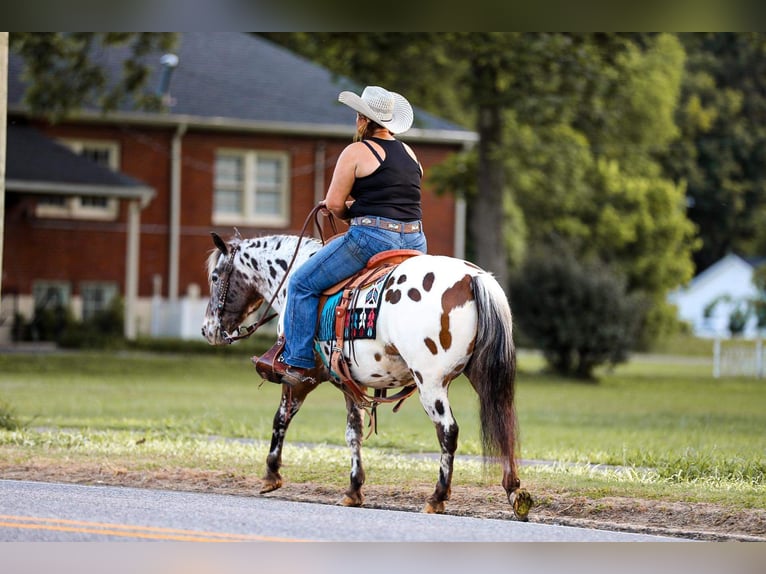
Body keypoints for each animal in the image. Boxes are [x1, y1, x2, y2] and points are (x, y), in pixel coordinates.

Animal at [201, 232, 532, 520]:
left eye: (215, 277)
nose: (207, 330)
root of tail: (473, 277)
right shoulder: (351, 384)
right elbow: (354, 432)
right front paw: (353, 489)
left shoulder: (300, 378)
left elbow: (281, 418)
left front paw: (272, 473)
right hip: (483, 377)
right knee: (503, 424)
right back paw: (514, 492)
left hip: (431, 383)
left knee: (448, 431)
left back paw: (438, 497)